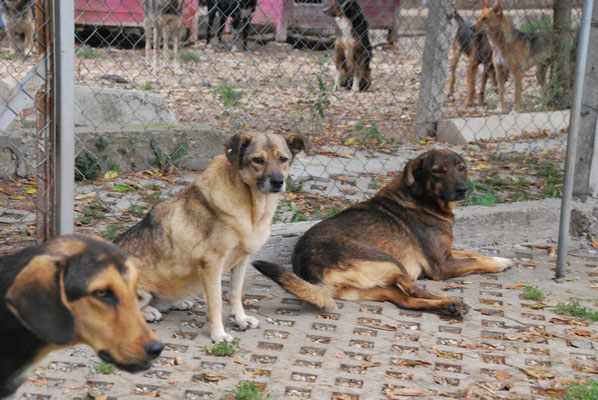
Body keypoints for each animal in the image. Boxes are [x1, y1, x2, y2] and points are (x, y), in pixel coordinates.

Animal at [254, 148, 516, 318]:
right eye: (437, 171)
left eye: (461, 168)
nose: (463, 189)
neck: (420, 196)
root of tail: (310, 272)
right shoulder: (441, 265)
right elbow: (475, 261)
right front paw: (499, 263)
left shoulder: (447, 252)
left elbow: (473, 253)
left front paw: (499, 257)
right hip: (390, 262)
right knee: (413, 288)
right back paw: (452, 302)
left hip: (374, 288)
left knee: (407, 300)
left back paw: (447, 307)